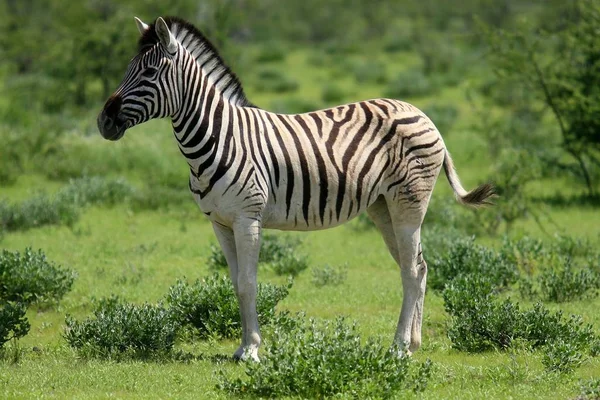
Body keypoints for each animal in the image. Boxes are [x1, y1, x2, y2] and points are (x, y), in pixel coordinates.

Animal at [97, 15, 492, 360]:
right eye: (128, 69)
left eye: (148, 72)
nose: (103, 121)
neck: (219, 137)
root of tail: (423, 114)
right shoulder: (219, 223)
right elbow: (234, 283)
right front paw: (241, 347)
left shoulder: (247, 218)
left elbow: (248, 283)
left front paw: (252, 350)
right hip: (383, 207)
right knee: (419, 267)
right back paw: (413, 344)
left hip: (409, 202)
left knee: (410, 271)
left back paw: (397, 348)